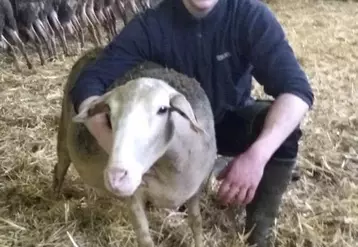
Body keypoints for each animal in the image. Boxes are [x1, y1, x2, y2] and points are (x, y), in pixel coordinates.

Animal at [51, 46, 217, 247]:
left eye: (163, 109)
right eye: (109, 114)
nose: (116, 177)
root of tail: (93, 50)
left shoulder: (195, 189)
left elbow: (196, 222)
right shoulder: (134, 196)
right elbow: (145, 238)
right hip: (63, 132)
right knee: (59, 166)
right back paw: (54, 198)